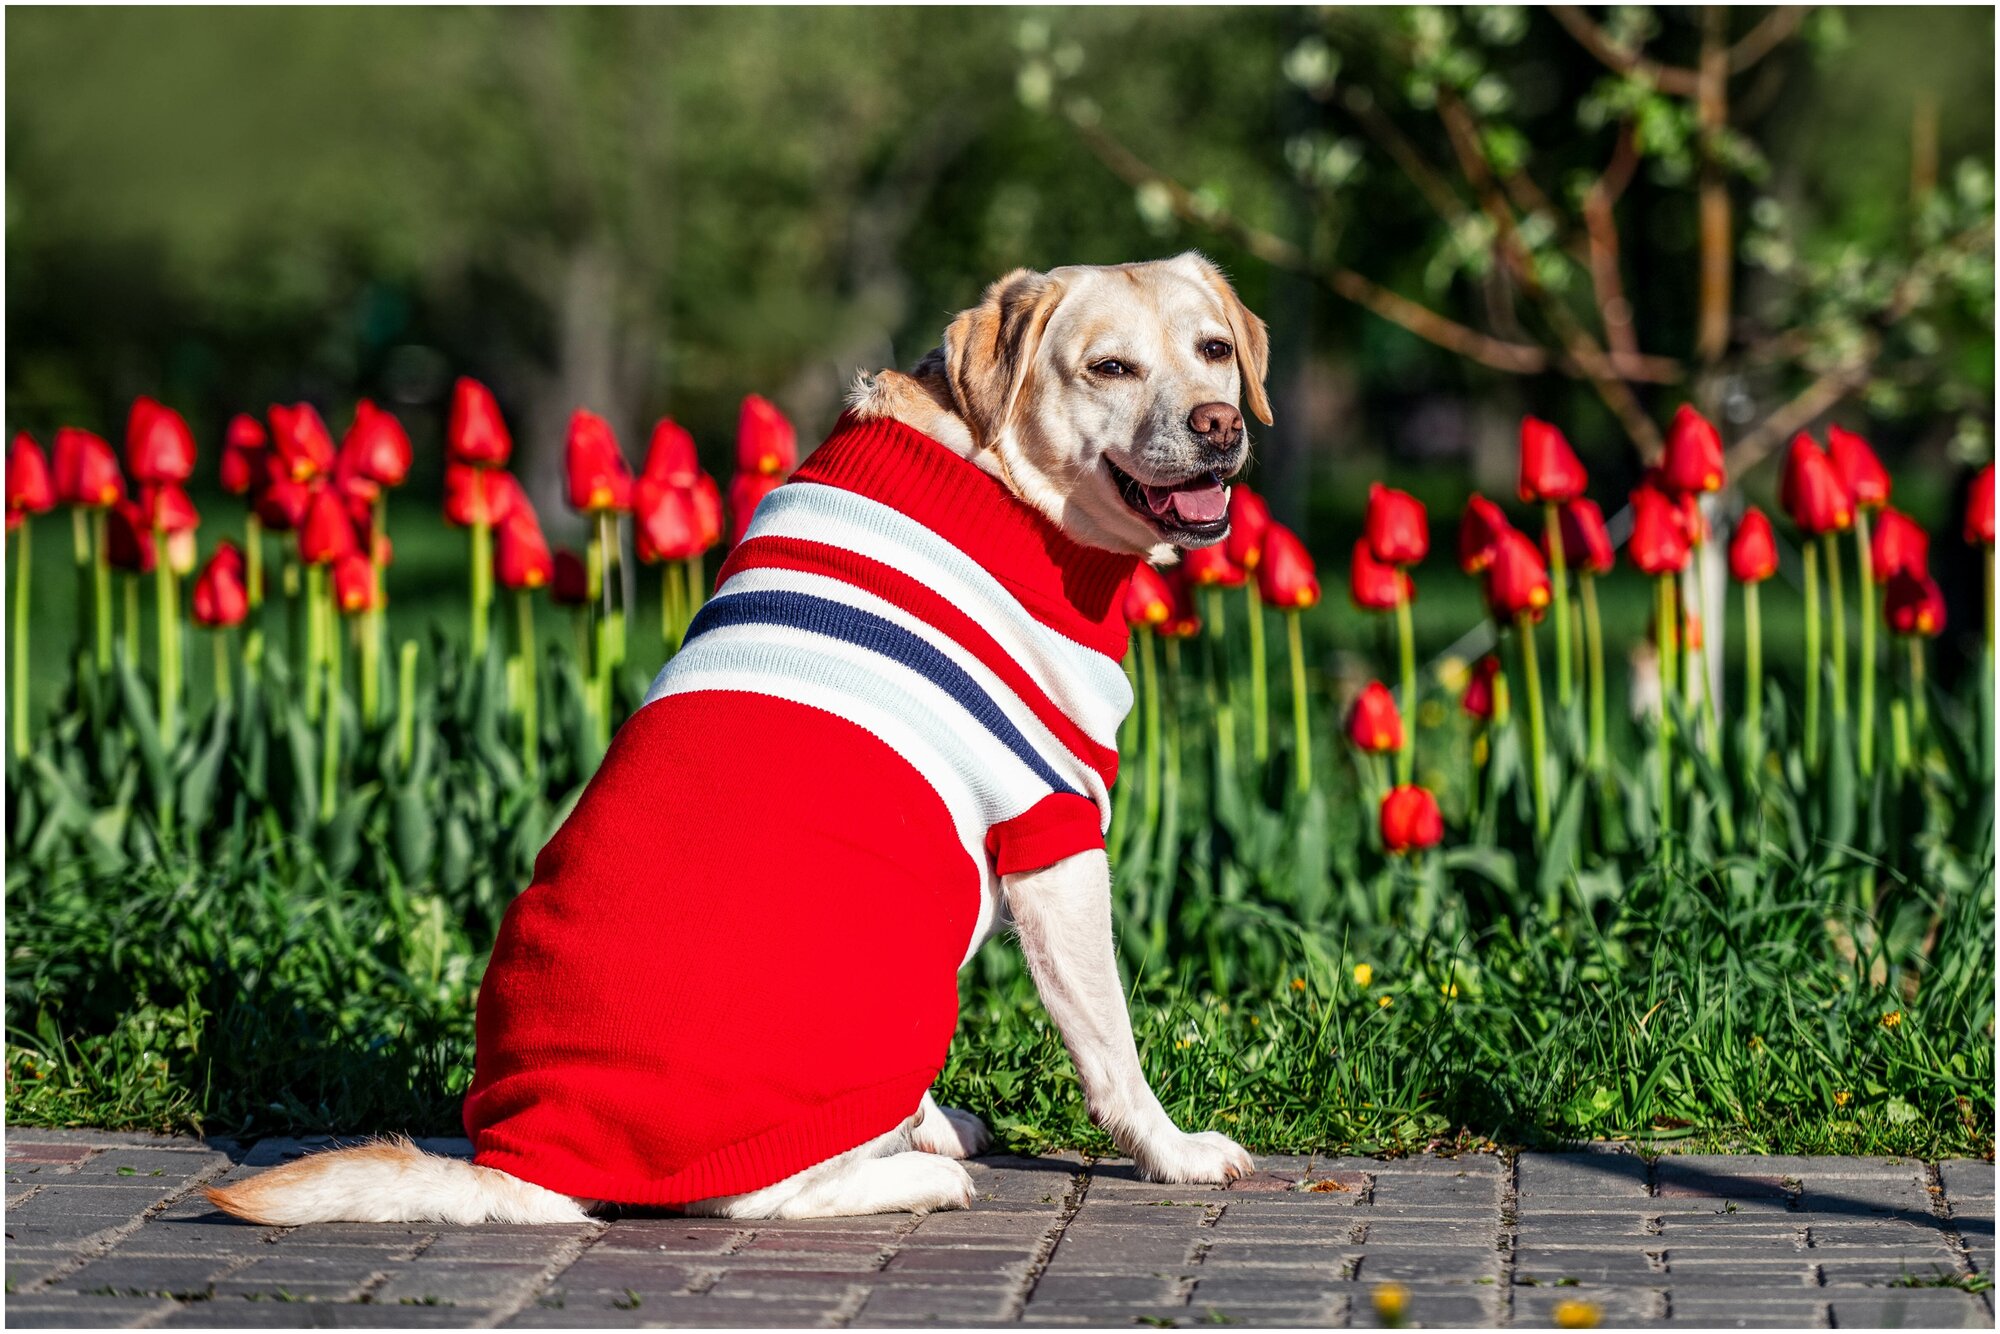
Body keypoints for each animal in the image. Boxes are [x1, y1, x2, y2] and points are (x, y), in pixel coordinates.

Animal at [211, 253, 1272, 1232]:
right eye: (1109, 368)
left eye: (1214, 351)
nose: (1221, 423)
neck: (993, 476)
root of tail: (527, 1156)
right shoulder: (1056, 833)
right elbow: (1110, 1039)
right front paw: (1173, 1154)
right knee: (754, 1197)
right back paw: (917, 1175)